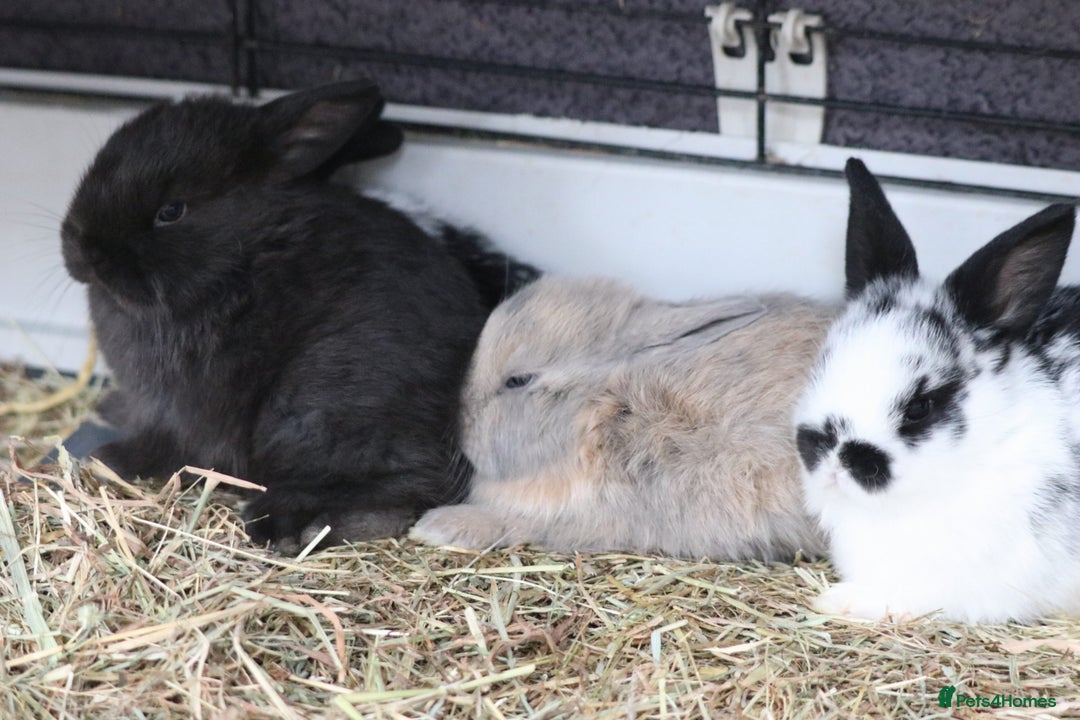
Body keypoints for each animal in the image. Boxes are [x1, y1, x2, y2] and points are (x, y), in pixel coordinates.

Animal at [60, 79, 513, 552]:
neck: (233, 263)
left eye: (171, 211)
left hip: (315, 409)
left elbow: (167, 445)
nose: (81, 248)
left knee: (409, 482)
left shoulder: (176, 411)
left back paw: (286, 524)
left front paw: (111, 459)